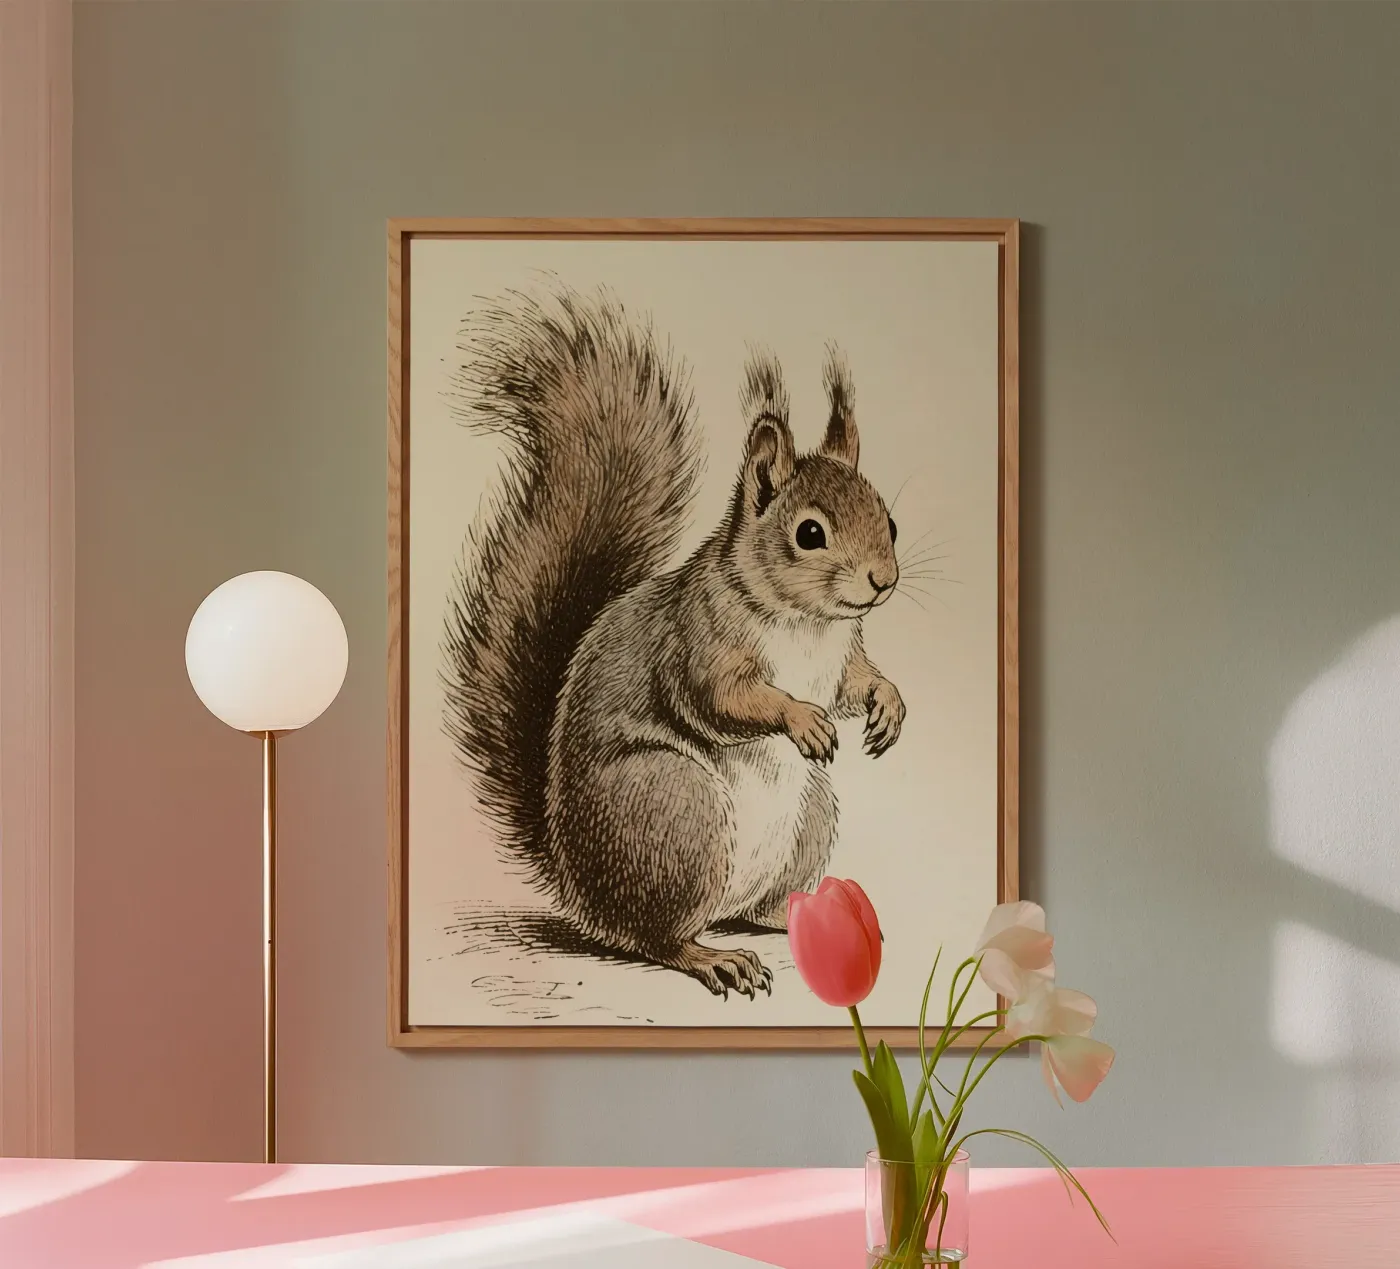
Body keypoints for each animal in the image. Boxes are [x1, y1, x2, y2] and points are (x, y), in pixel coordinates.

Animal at [443, 283, 905, 998]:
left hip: (810, 813)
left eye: (890, 520)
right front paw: (802, 718)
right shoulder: (697, 642)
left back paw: (803, 915)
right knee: (658, 937)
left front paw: (888, 704)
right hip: (676, 810)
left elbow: (859, 681)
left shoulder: (842, 656)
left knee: (750, 909)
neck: (807, 623)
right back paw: (714, 957)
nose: (883, 581)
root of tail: (585, 895)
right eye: (809, 533)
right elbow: (721, 699)